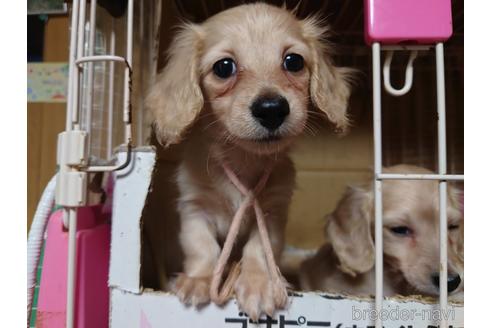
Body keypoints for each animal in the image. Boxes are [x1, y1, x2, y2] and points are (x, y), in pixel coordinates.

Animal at [144, 2, 352, 320]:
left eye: (294, 61)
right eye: (223, 67)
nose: (271, 109)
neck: (243, 158)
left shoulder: (272, 213)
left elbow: (258, 249)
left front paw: (259, 284)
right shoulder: (194, 208)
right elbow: (201, 246)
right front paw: (199, 279)